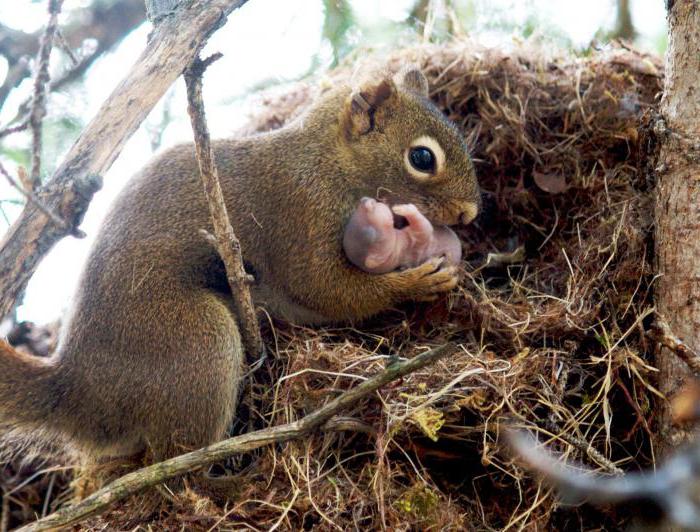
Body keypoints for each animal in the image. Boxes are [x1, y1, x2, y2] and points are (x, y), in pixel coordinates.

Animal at [0, 66, 482, 462]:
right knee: (178, 462)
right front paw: (418, 281)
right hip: (197, 340)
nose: (470, 214)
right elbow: (327, 289)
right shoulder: (300, 212)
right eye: (422, 158)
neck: (328, 161)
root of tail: (77, 390)